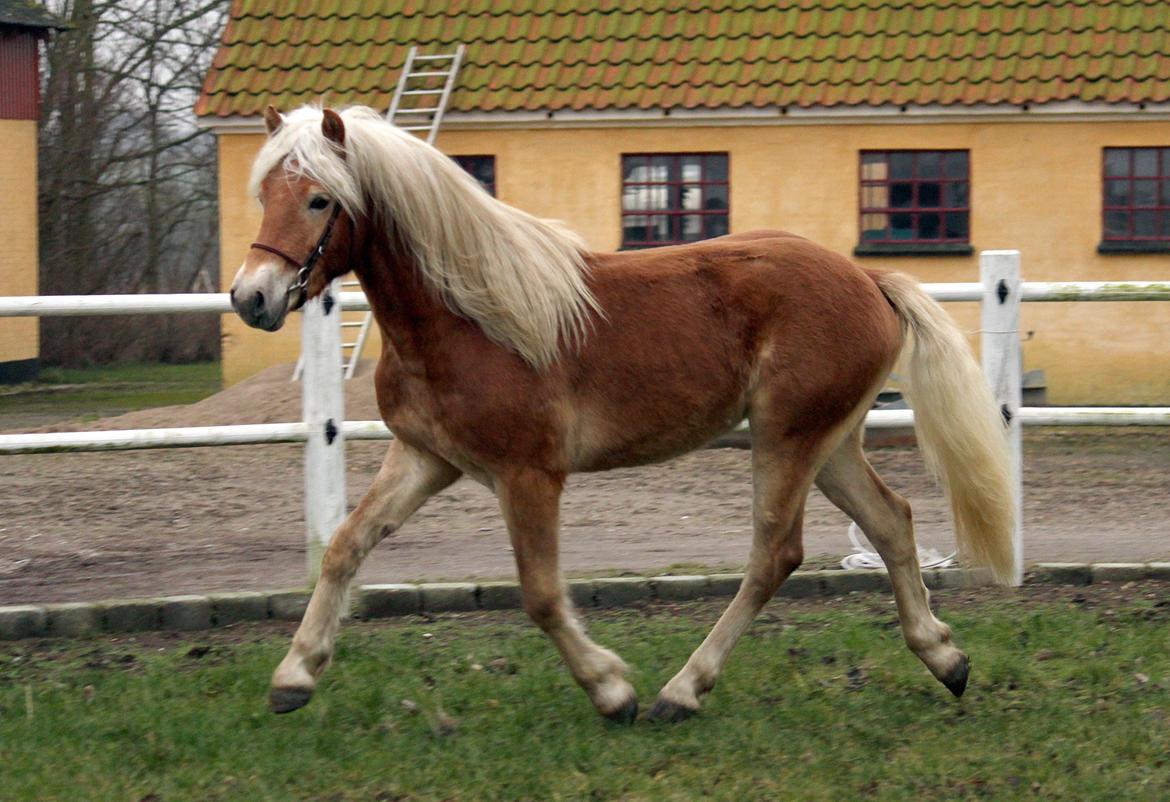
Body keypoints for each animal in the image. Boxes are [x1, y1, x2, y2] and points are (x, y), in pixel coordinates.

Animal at [230, 103, 1015, 721]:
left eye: (319, 200)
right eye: (264, 189)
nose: (252, 297)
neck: (470, 318)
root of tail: (868, 277)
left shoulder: (529, 475)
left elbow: (542, 595)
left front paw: (612, 691)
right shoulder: (426, 457)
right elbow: (346, 545)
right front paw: (294, 677)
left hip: (788, 437)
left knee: (775, 554)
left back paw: (681, 691)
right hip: (830, 442)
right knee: (890, 521)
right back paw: (946, 659)